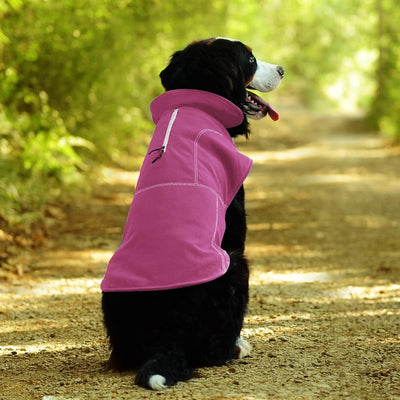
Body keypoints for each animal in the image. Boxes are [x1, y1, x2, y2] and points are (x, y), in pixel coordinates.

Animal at [102, 38, 284, 390]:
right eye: (250, 59)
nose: (282, 69)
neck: (194, 103)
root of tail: (167, 334)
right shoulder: (233, 223)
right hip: (236, 265)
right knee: (214, 349)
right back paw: (237, 347)